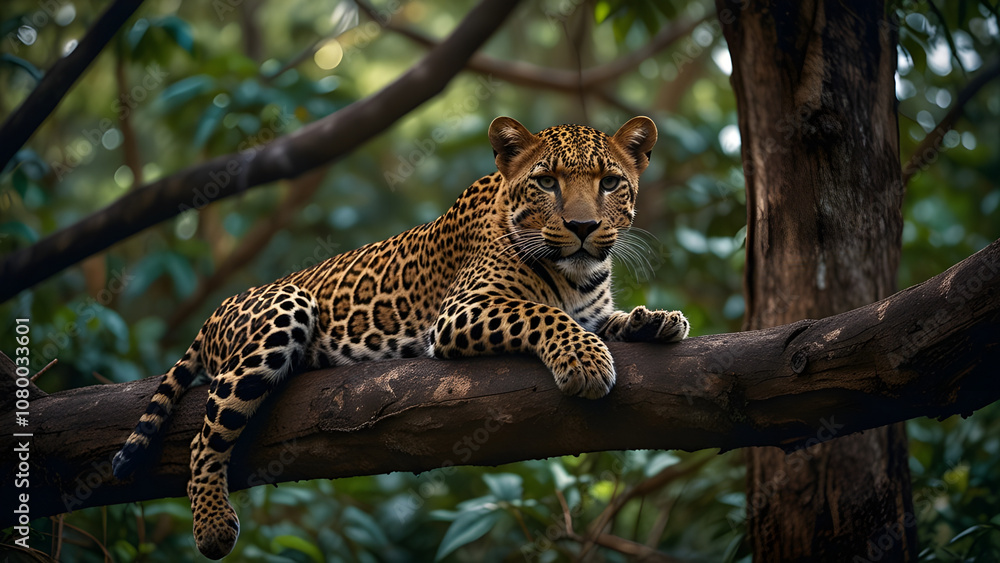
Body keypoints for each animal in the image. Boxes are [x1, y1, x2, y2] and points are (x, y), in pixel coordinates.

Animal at [112, 115, 689, 559]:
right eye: (547, 183)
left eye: (610, 182)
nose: (583, 227)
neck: (577, 277)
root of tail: (217, 311)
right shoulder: (463, 310)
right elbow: (544, 315)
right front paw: (585, 363)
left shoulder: (591, 309)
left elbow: (606, 320)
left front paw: (657, 319)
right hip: (285, 307)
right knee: (204, 438)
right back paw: (212, 525)